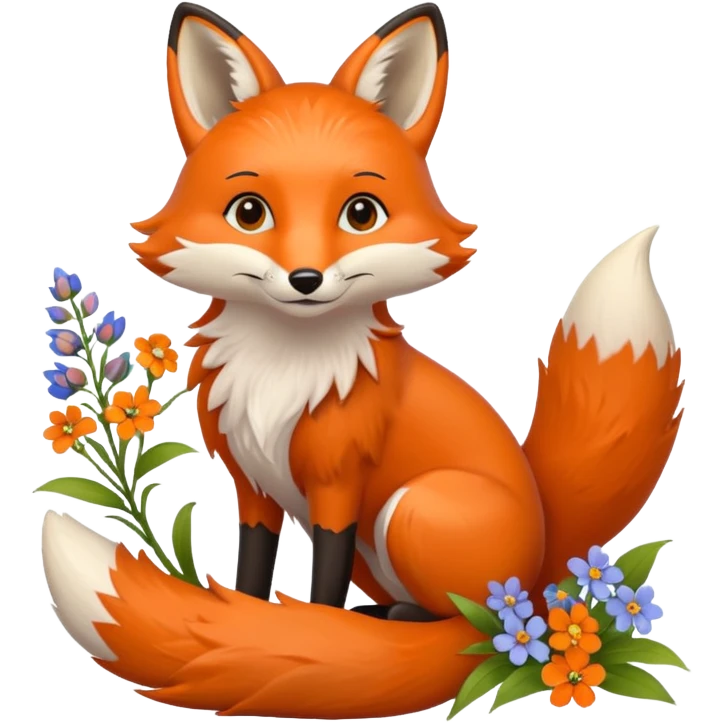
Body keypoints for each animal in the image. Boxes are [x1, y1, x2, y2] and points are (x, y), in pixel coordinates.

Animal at [40, 2, 683, 719]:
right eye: (249, 211)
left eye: (361, 213)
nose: (306, 278)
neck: (284, 372)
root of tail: (545, 563)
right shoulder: (254, 482)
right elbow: (252, 569)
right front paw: (250, 618)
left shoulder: (337, 481)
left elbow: (322, 581)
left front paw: (313, 639)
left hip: (415, 509)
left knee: (464, 626)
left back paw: (401, 629)